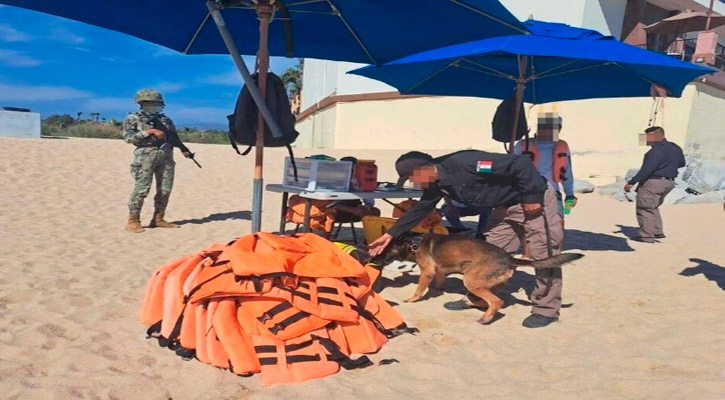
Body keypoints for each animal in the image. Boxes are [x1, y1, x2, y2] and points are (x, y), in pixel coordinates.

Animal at [376, 234, 584, 324]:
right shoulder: (439, 272)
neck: (415, 243)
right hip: (486, 282)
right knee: (491, 300)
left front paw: (412, 299)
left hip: (471, 280)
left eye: (387, 249)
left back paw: (486, 317)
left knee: (497, 302)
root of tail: (509, 258)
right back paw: (476, 305)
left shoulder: (426, 272)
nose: (376, 258)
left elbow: (419, 289)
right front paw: (438, 290)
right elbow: (440, 281)